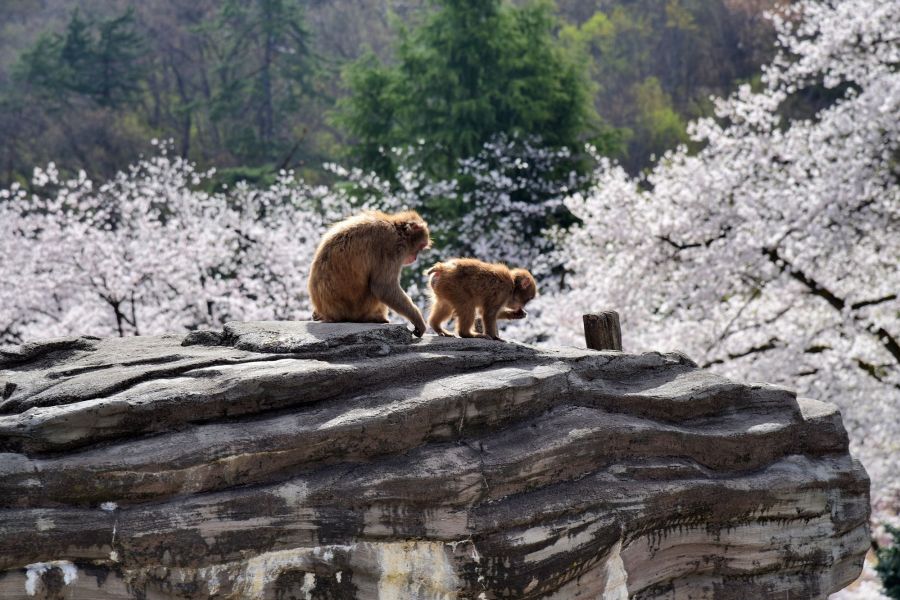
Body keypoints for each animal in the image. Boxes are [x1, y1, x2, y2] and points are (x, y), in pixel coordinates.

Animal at [310, 210, 432, 338]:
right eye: (421, 247)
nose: (415, 258)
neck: (396, 228)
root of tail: (331, 314)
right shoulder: (392, 247)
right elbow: (383, 288)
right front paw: (418, 320)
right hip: (357, 311)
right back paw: (375, 318)